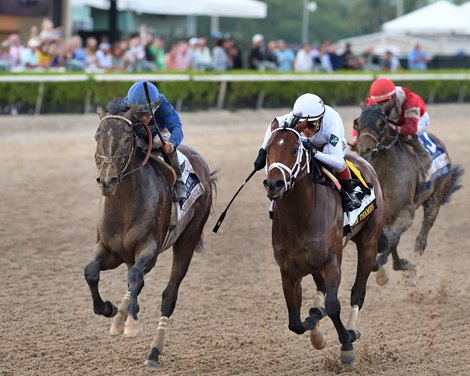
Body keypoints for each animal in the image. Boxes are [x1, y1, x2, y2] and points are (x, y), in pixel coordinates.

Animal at [84, 99, 217, 368]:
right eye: (97, 136)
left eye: (127, 138)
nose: (107, 181)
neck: (124, 205)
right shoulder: (109, 250)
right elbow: (91, 271)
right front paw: (108, 308)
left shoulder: (149, 250)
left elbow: (136, 278)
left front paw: (133, 324)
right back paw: (118, 319)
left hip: (187, 239)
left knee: (167, 296)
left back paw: (153, 352)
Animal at [262, 119, 384, 364]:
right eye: (268, 149)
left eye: (294, 150)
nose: (274, 184)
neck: (300, 217)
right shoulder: (289, 271)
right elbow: (296, 323)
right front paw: (316, 330)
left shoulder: (331, 263)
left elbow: (333, 305)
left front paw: (347, 343)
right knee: (320, 289)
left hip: (368, 243)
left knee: (357, 292)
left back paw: (351, 328)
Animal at [356, 103, 462, 284]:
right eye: (358, 122)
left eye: (380, 123)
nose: (364, 149)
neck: (385, 172)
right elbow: (386, 239)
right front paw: (388, 266)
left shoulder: (406, 213)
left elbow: (393, 239)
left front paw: (390, 267)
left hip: (435, 200)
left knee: (421, 239)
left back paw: (413, 271)